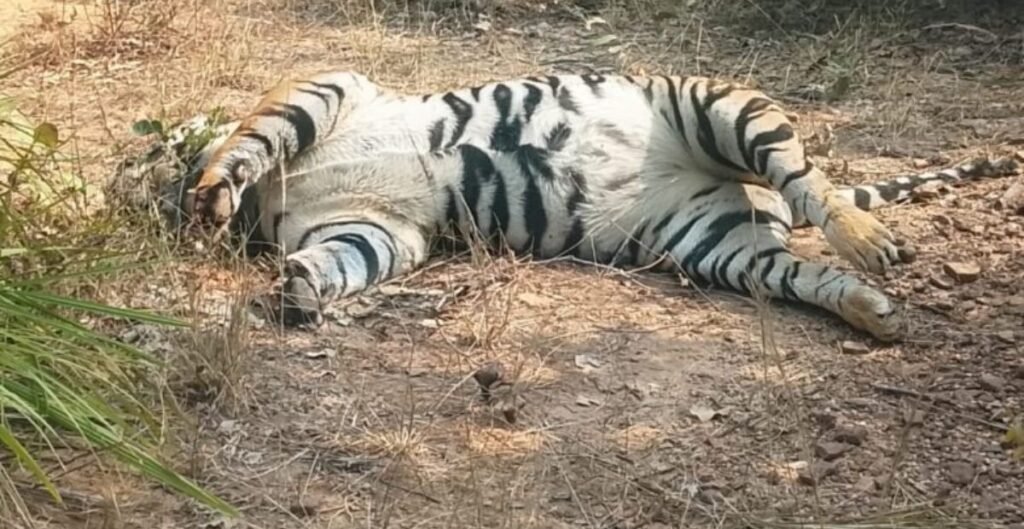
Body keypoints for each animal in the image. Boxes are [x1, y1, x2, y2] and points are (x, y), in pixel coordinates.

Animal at [109, 70, 1020, 342]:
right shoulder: (372, 228)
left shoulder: (327, 87)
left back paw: (870, 242)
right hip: (719, 244)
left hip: (717, 104)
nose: (117, 177)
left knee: (811, 180)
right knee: (800, 272)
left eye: (131, 151)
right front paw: (300, 286)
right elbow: (342, 260)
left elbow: (254, 137)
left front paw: (211, 191)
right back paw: (876, 311)